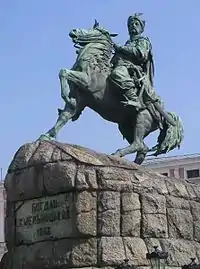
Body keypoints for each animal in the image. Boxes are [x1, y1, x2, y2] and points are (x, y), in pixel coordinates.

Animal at [38, 20, 184, 163]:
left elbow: (63, 71)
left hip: (142, 119)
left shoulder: (86, 81)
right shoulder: (80, 100)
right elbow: (65, 115)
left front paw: (65, 96)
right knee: (142, 148)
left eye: (94, 30)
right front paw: (46, 136)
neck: (93, 63)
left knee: (138, 144)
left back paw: (117, 154)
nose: (73, 31)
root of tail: (165, 112)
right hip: (126, 127)